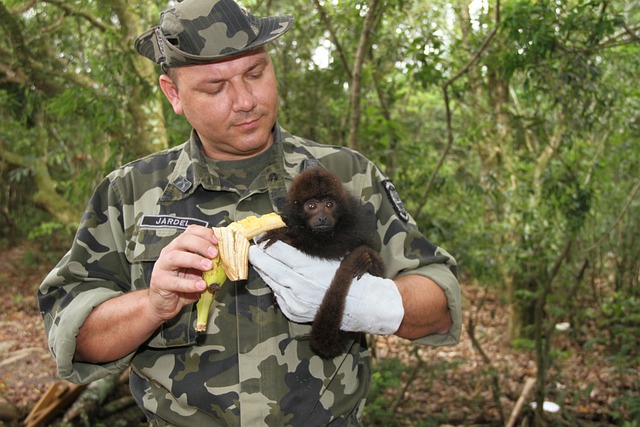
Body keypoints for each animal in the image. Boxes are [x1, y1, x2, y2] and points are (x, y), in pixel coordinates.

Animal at [258, 167, 384, 358]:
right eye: (311, 206)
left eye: (329, 205)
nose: (323, 218)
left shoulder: (354, 219)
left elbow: (340, 244)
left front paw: (285, 235)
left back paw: (367, 261)